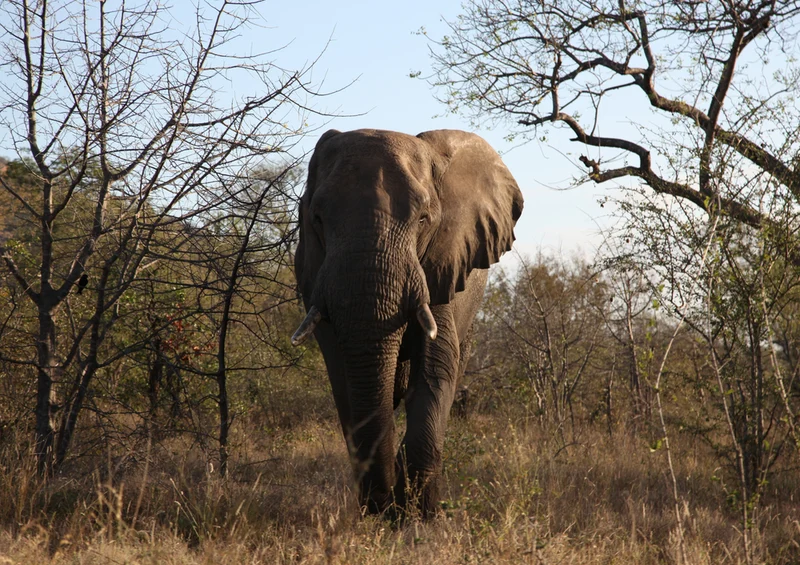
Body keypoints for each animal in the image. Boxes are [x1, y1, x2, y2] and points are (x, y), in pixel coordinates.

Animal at [292, 128, 523, 517]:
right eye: (317, 219)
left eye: (423, 219)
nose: (383, 506)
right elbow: (343, 376)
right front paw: (383, 511)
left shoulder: (441, 266)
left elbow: (436, 366)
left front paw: (420, 516)